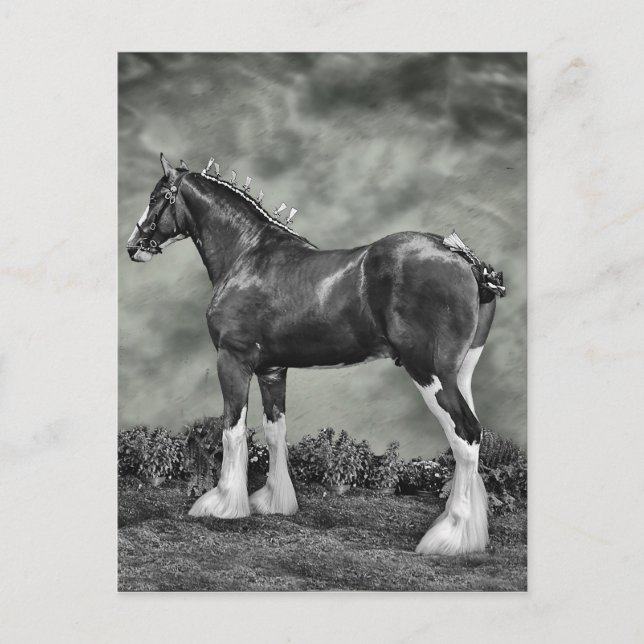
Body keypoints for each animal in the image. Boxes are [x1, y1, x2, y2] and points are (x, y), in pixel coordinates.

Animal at [126, 153, 506, 555]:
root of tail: (465, 261)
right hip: (460, 374)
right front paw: (274, 501)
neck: (247, 256)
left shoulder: (233, 360)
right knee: (472, 435)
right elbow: (275, 431)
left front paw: (223, 503)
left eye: (155, 198)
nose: (134, 245)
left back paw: (449, 535)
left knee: (465, 435)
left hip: (429, 373)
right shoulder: (272, 370)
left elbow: (233, 430)